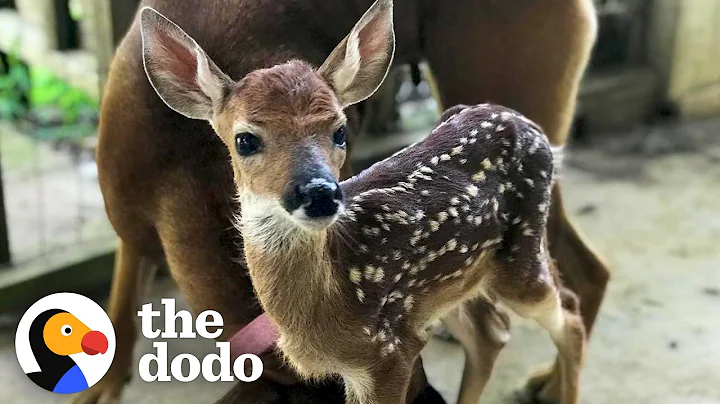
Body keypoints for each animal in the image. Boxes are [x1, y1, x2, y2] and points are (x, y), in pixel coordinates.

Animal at [79, 0, 608, 404]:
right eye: (245, 140)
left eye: (340, 130)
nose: (319, 193)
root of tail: (522, 123)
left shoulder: (388, 353)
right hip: (452, 280)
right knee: (492, 333)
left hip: (520, 253)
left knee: (569, 312)